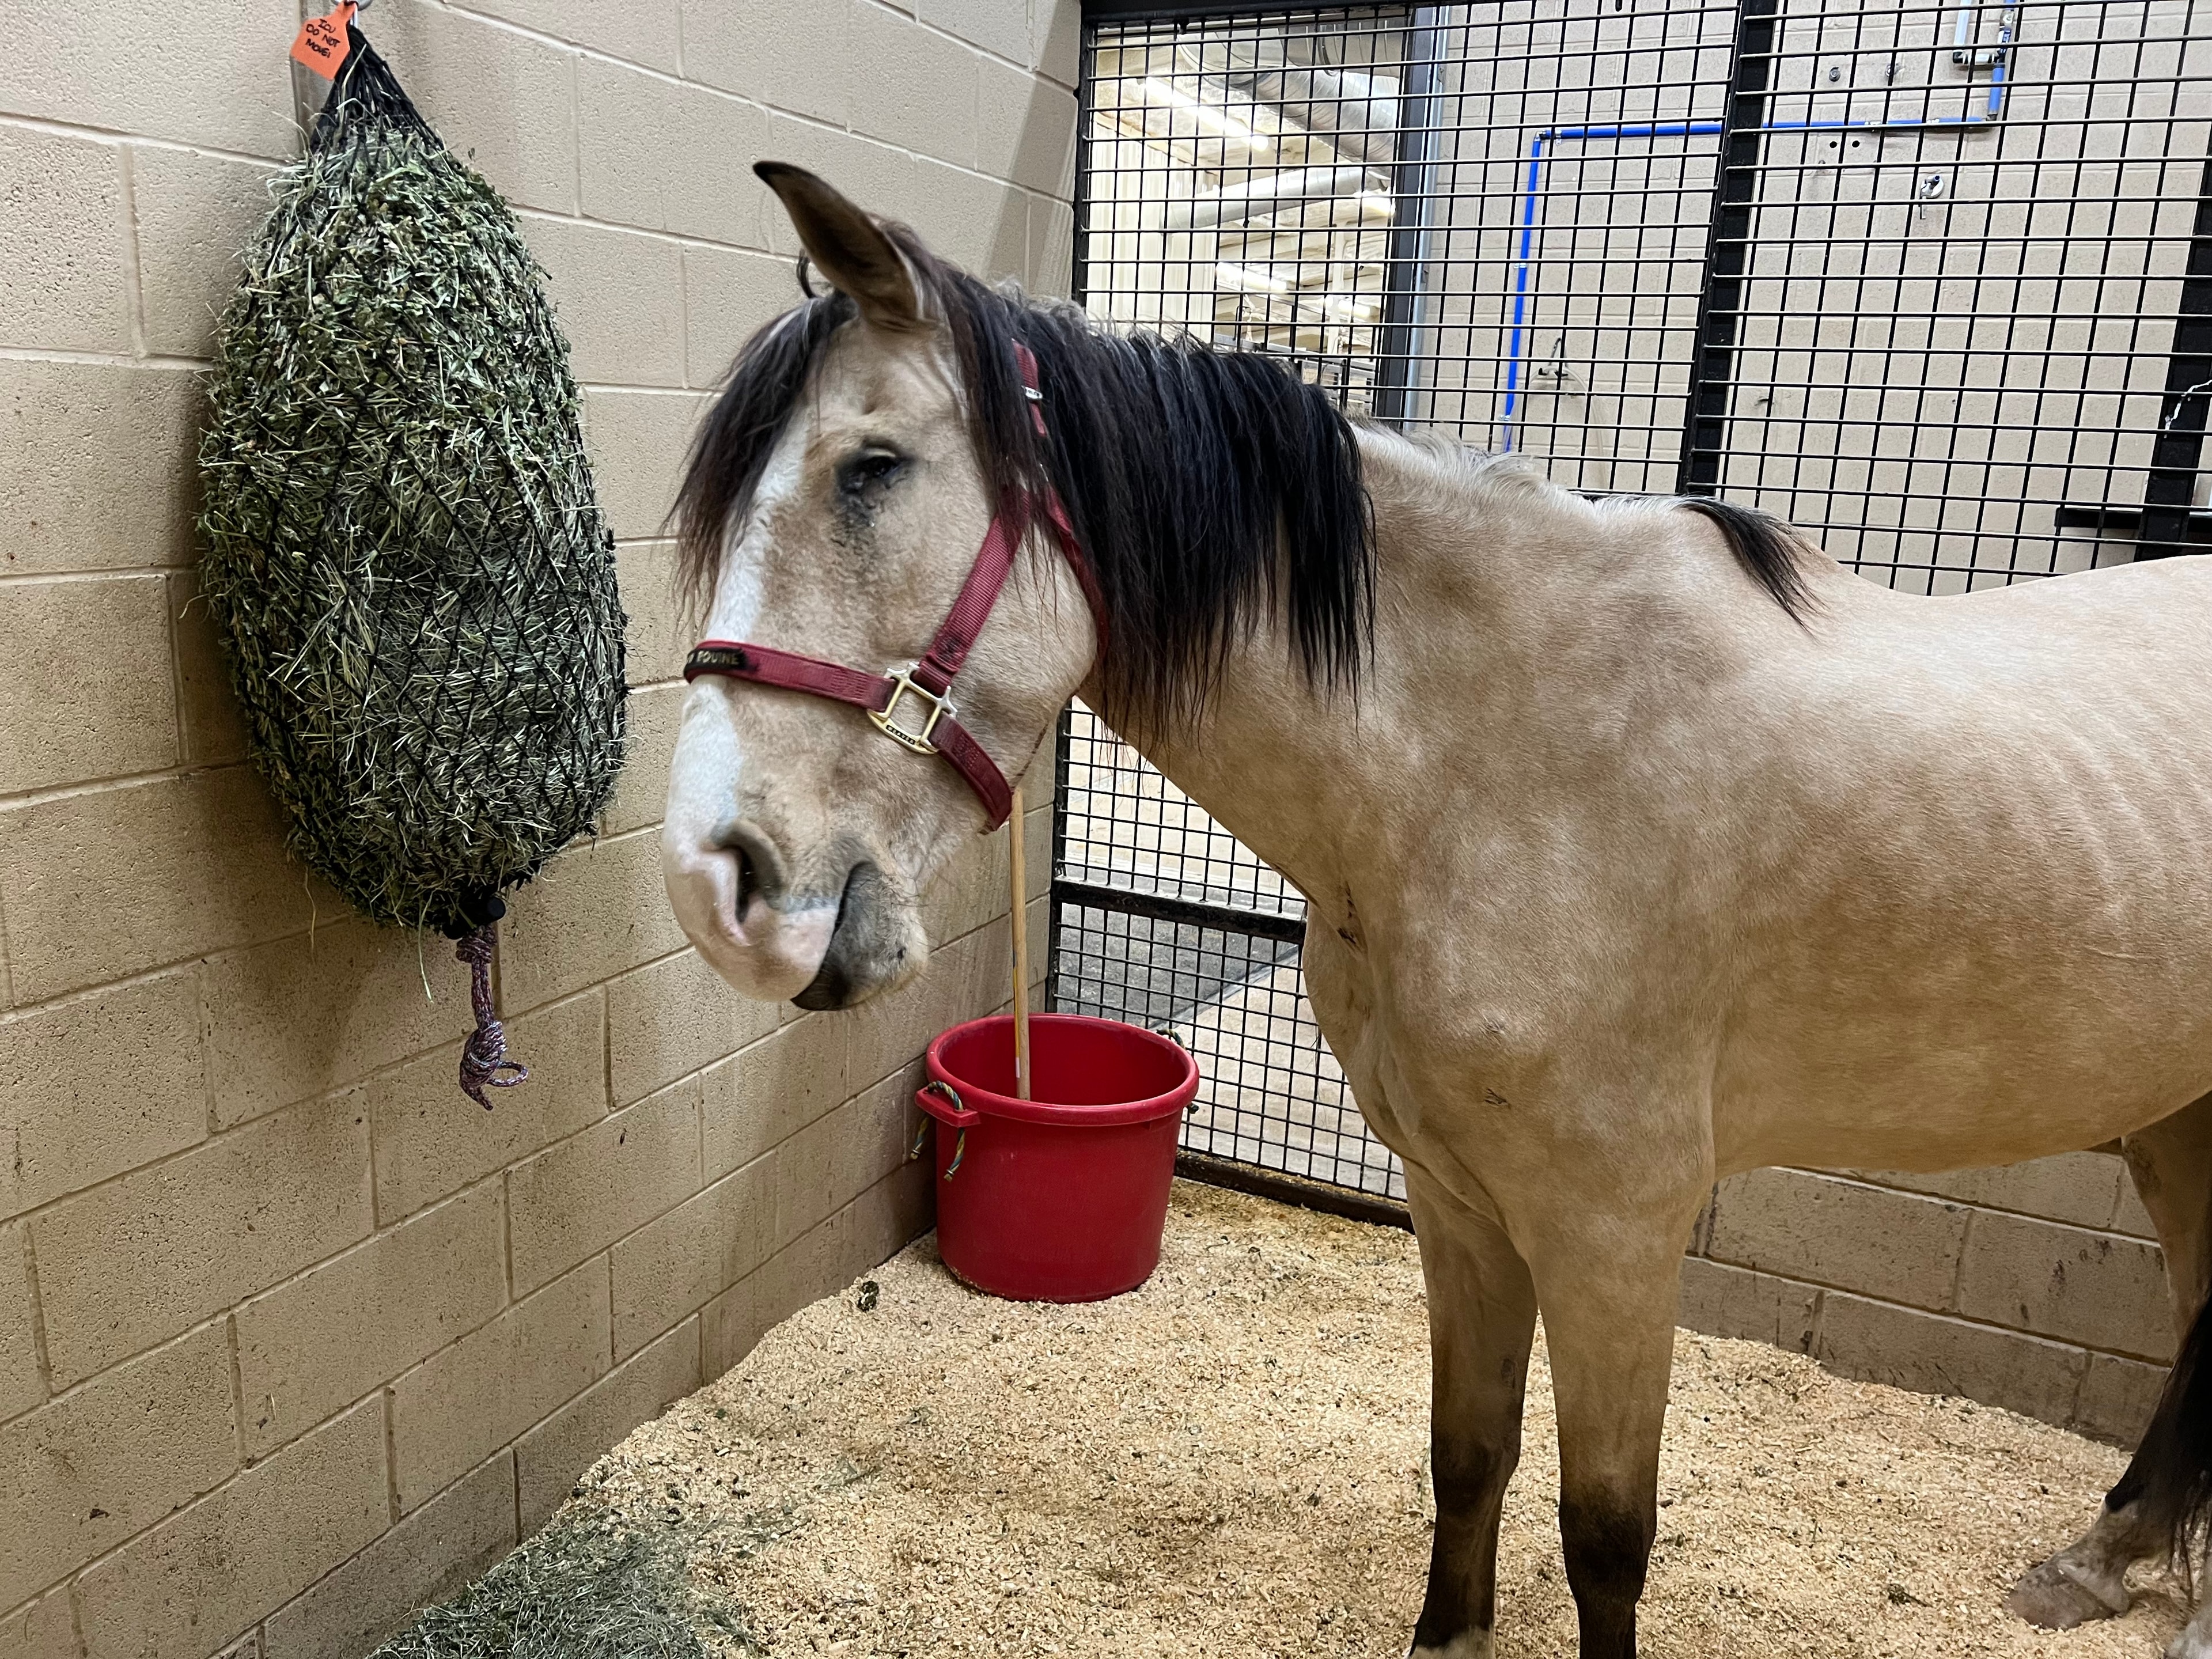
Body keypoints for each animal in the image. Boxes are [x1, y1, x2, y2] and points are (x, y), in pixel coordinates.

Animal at [661, 161, 2212, 1659]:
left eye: (870, 469)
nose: (715, 886)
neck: (1497, 762)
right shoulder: (1457, 1201)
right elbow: (1468, 1454)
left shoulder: (1613, 1234)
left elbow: (1605, 1536)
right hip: (2176, 1122)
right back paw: (2105, 1560)